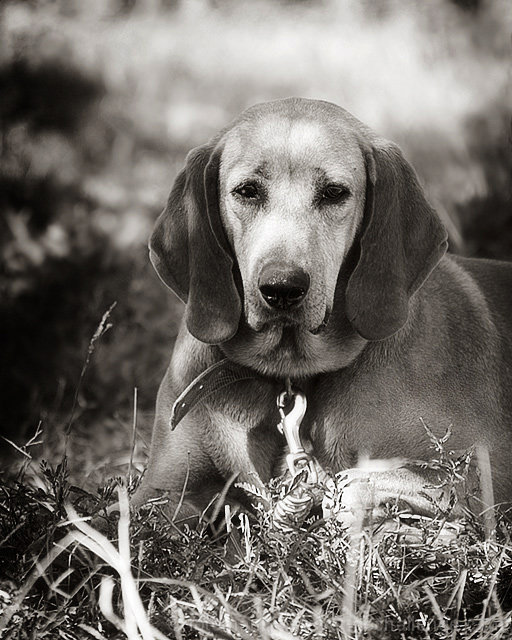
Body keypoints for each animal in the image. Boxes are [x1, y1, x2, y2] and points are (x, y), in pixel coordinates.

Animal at [133, 97, 512, 528]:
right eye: (247, 191)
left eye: (333, 192)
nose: (282, 288)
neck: (291, 377)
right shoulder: (158, 490)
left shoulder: (479, 470)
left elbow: (351, 482)